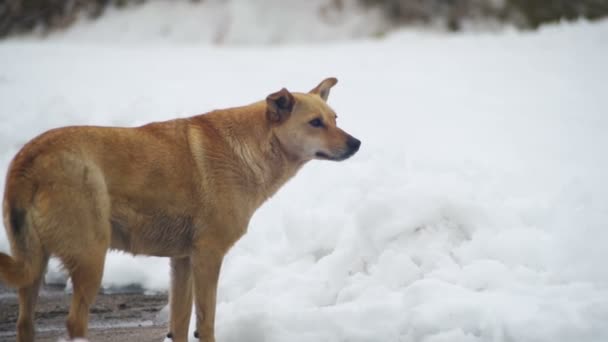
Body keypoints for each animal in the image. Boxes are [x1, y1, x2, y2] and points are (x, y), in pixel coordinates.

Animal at [0, 78, 358, 342]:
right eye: (315, 123)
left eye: (335, 119)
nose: (357, 144)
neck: (253, 147)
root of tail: (29, 157)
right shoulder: (208, 255)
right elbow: (207, 321)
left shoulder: (182, 260)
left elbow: (181, 322)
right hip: (91, 258)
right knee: (74, 324)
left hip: (34, 265)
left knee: (24, 324)